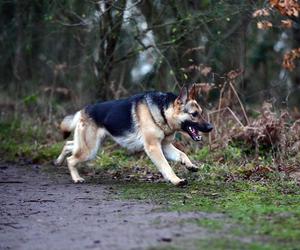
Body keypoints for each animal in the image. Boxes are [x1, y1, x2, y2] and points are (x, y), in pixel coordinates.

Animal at [54, 85, 213, 187]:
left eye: (201, 113)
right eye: (194, 114)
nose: (211, 127)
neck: (163, 111)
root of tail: (82, 110)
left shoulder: (165, 147)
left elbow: (182, 154)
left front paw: (190, 165)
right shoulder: (154, 148)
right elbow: (166, 166)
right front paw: (176, 180)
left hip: (90, 146)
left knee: (68, 145)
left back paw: (57, 161)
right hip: (90, 150)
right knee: (71, 159)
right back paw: (76, 178)